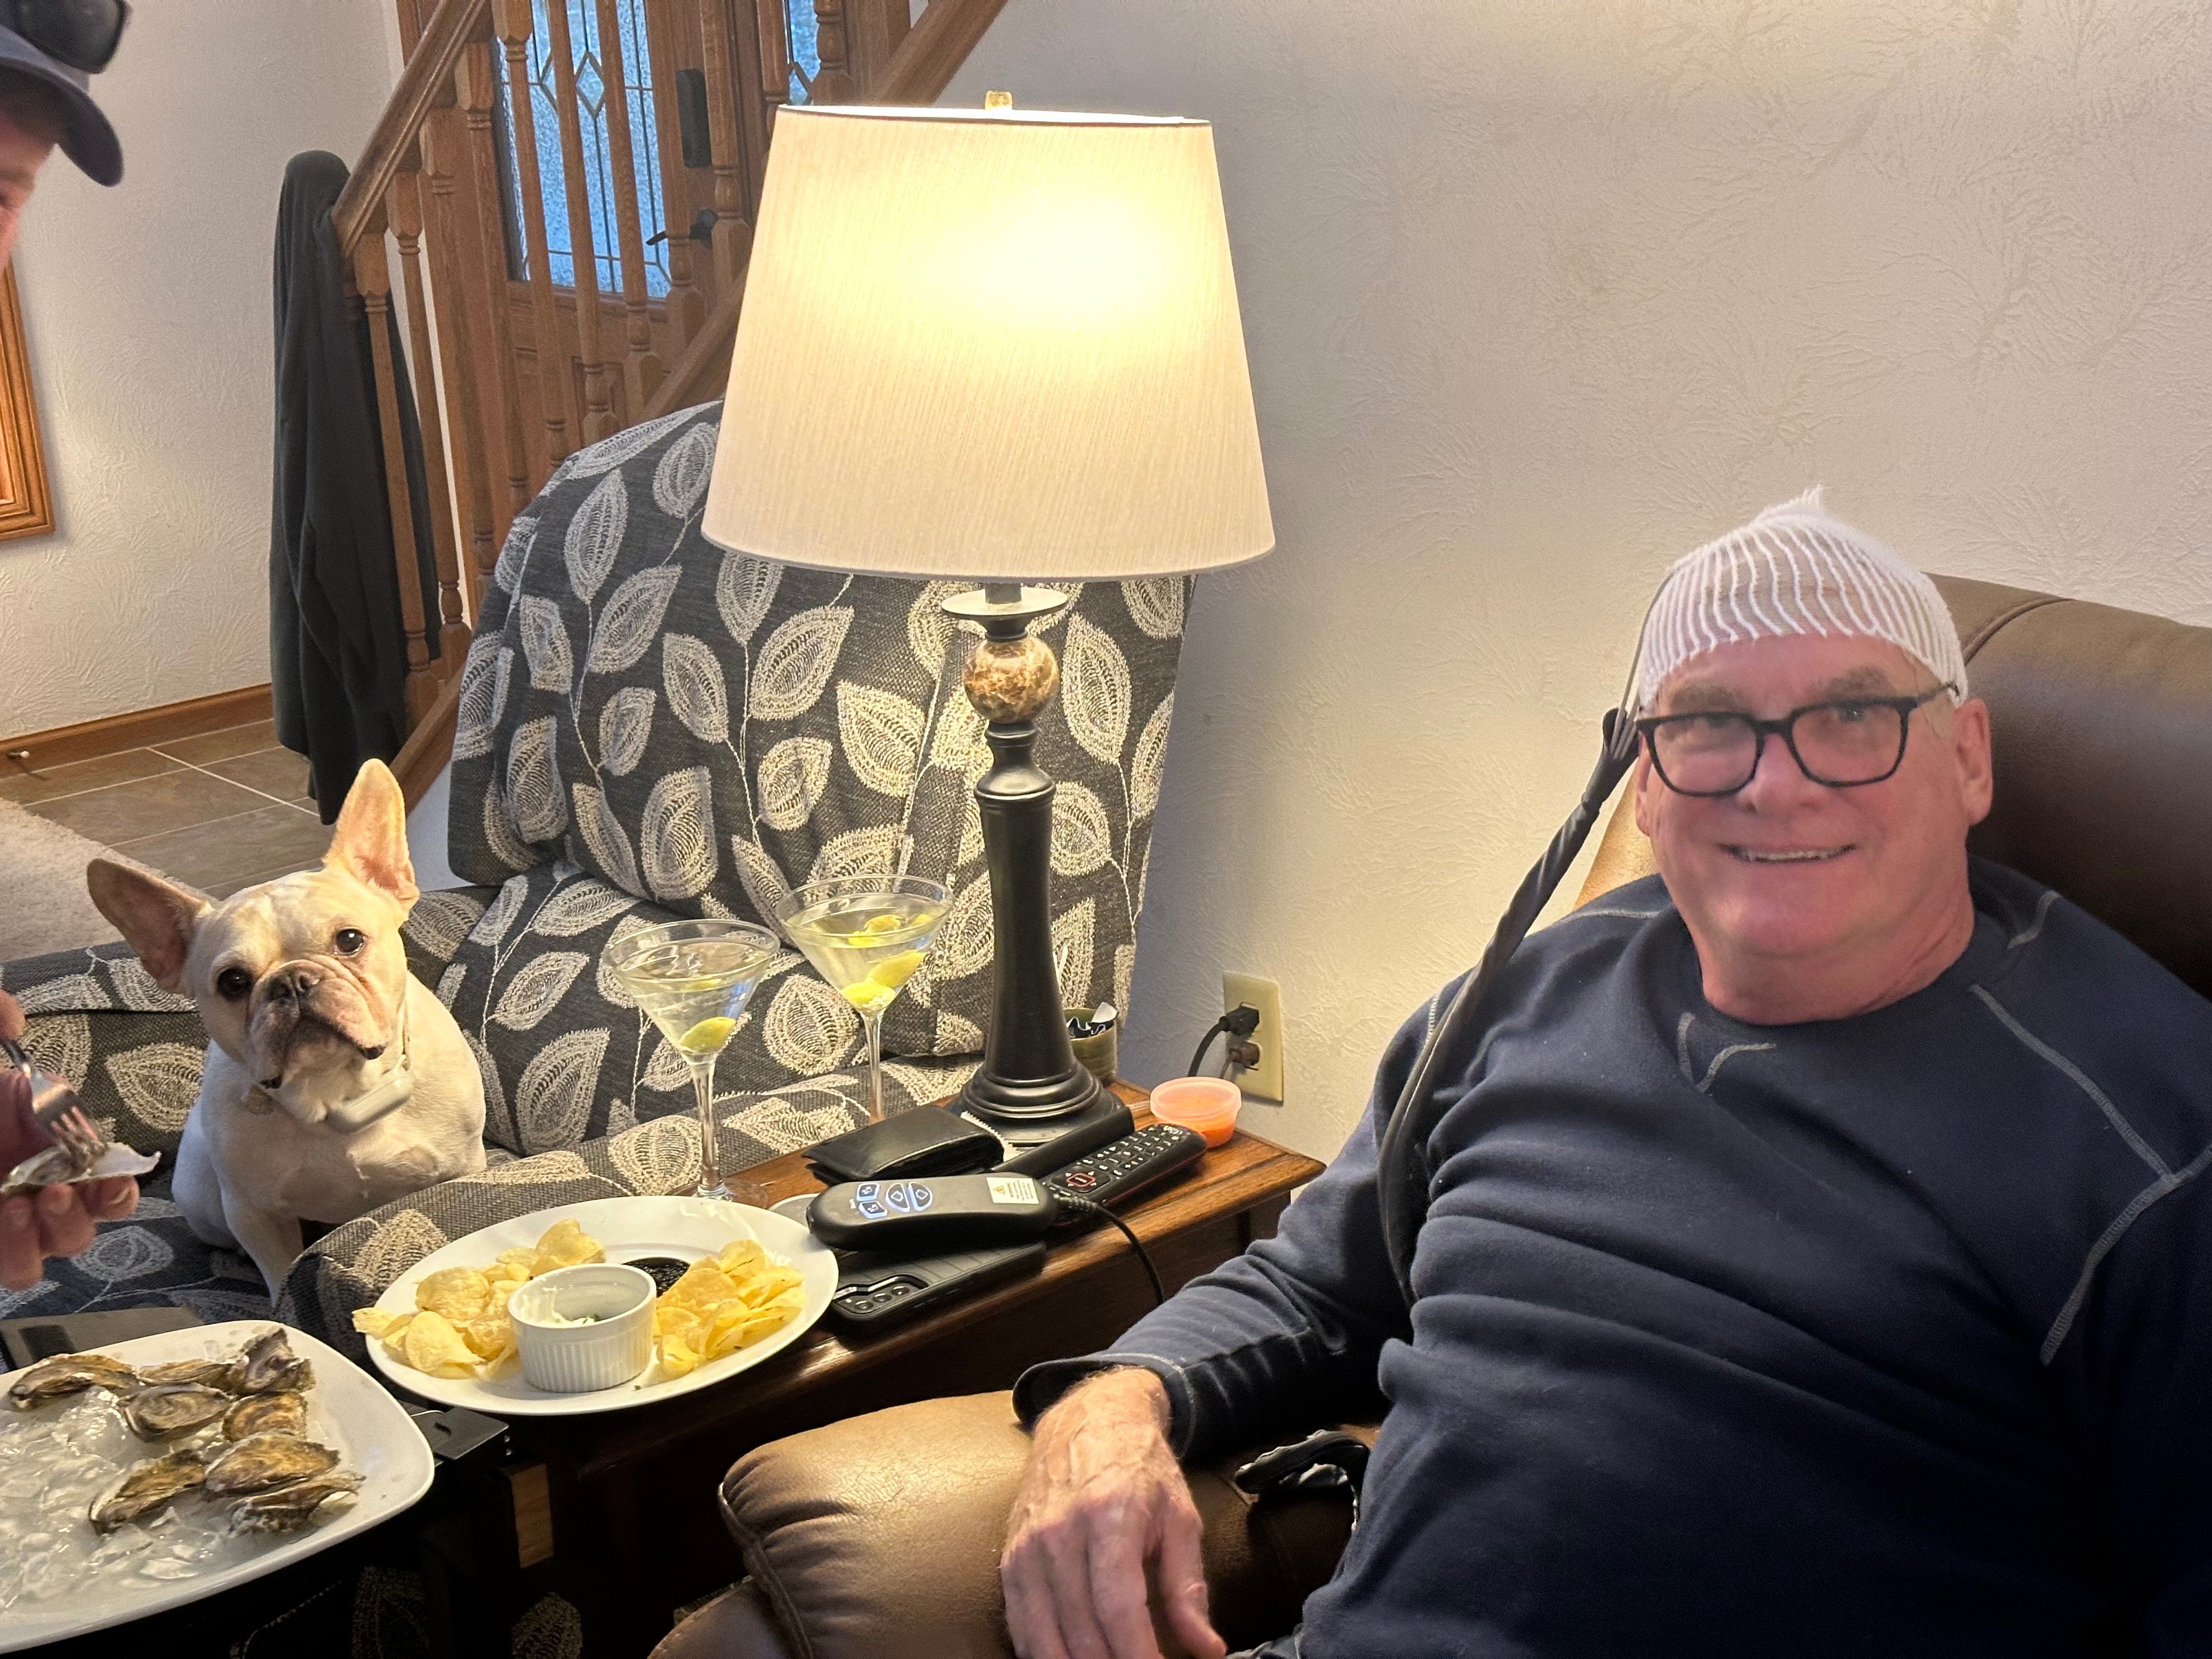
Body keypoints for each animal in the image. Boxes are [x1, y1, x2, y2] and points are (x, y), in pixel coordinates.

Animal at [89, 759, 486, 1299]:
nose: (294, 981)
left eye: (350, 940)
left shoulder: (461, 1168)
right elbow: (280, 1277)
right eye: (233, 982)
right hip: (205, 1200)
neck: (336, 1090)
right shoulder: (256, 1215)